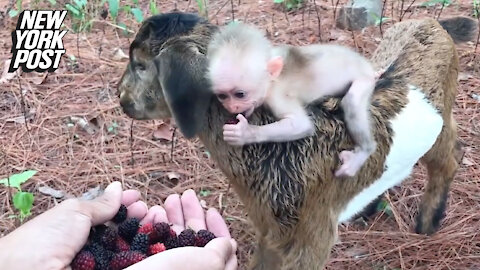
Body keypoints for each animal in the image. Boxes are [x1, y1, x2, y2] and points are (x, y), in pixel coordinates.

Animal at [206, 22, 378, 177]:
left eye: (240, 94)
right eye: (223, 96)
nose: (232, 107)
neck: (271, 81)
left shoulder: (276, 97)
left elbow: (301, 125)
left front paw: (246, 133)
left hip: (365, 78)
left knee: (352, 101)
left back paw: (365, 150)